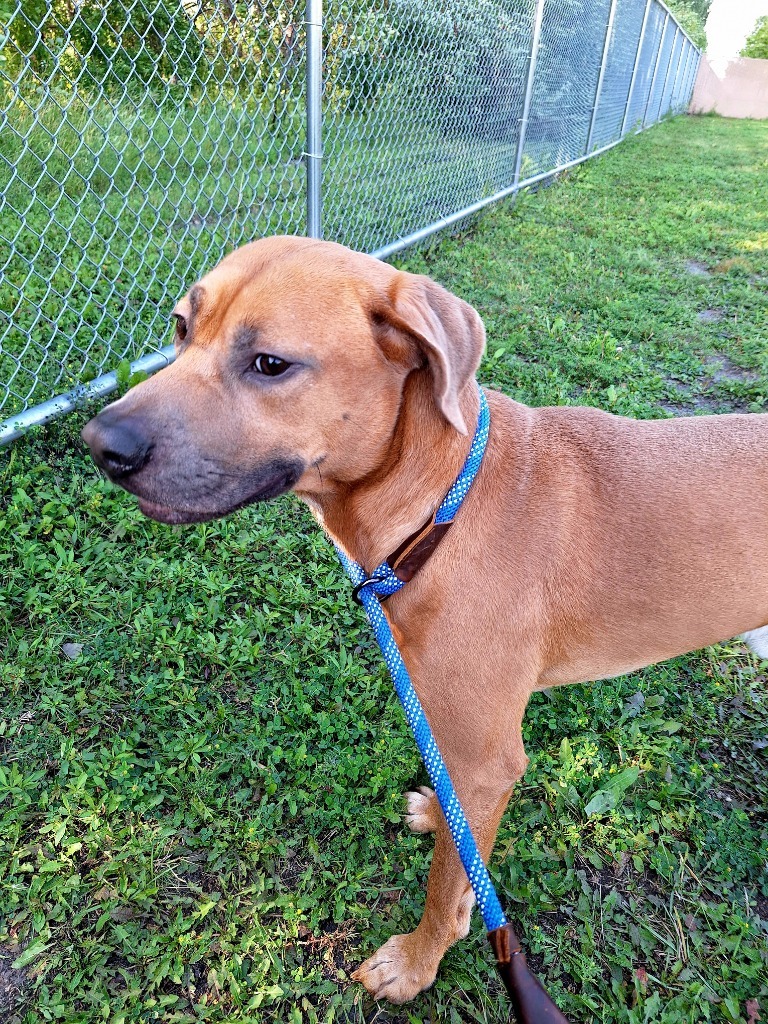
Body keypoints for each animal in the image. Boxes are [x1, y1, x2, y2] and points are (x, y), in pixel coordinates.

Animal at [82, 235, 768, 1003]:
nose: (100, 442)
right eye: (180, 327)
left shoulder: (488, 757)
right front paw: (443, 823)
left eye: (269, 364)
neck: (440, 506)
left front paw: (416, 964)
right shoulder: (453, 730)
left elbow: (445, 886)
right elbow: (456, 829)